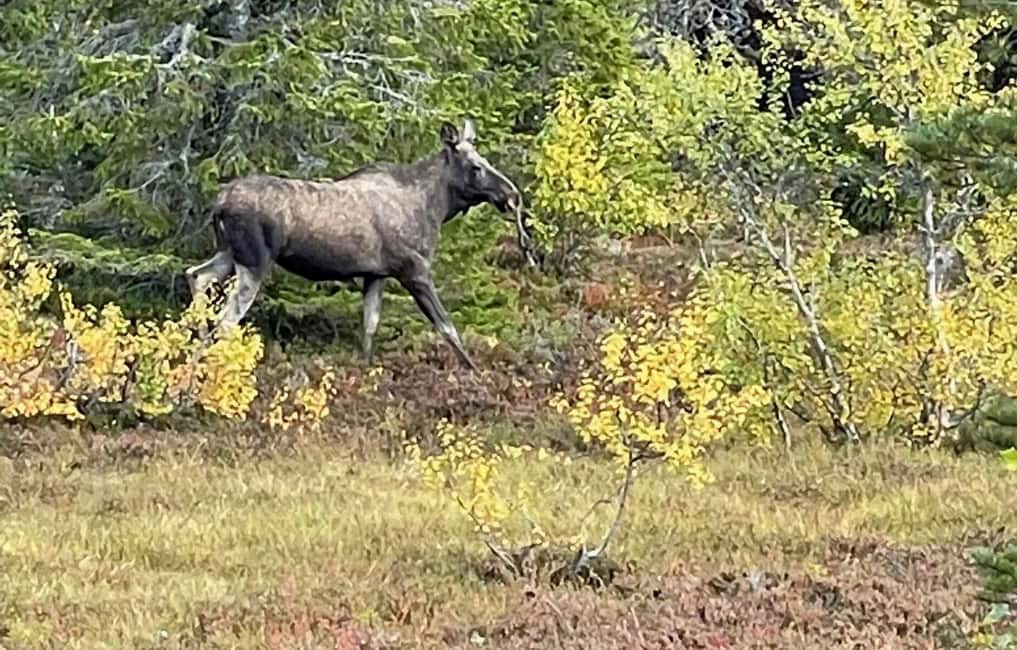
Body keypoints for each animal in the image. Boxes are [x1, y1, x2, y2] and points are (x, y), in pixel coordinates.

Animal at [184, 119, 526, 371]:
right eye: (476, 166)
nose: (512, 194)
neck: (435, 207)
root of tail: (219, 205)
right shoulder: (414, 270)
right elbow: (447, 327)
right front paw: (476, 373)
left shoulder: (376, 274)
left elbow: (369, 327)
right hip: (254, 262)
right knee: (225, 321)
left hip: (229, 253)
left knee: (196, 275)